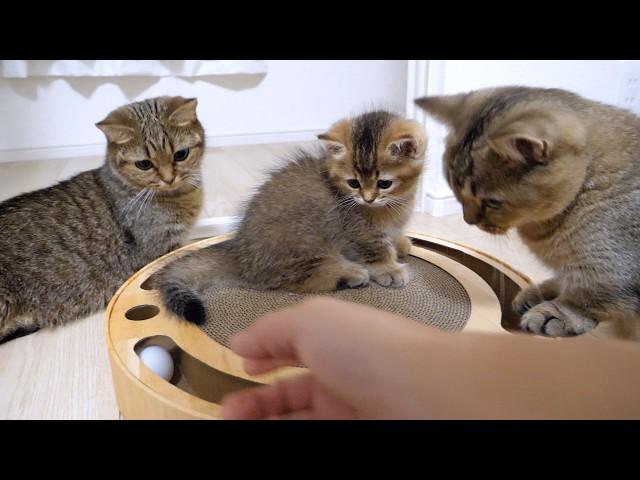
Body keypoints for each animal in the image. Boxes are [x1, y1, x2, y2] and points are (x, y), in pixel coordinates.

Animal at [155, 110, 428, 324]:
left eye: (384, 183)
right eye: (353, 183)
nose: (368, 198)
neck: (395, 204)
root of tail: (238, 252)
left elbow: (393, 238)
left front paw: (400, 243)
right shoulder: (360, 232)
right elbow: (377, 250)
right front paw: (389, 269)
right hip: (303, 242)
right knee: (300, 279)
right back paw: (349, 274)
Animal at [418, 87, 640, 342]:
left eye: (492, 202)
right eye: (454, 188)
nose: (468, 220)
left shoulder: (609, 271)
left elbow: (584, 299)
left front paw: (556, 313)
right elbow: (563, 279)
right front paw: (541, 291)